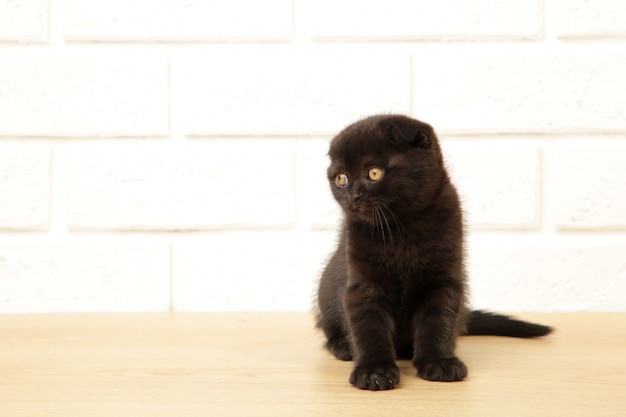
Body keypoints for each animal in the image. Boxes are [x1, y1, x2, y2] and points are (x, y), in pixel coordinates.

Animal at [314, 114, 548, 390]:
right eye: (342, 178)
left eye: (374, 172)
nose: (354, 196)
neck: (401, 227)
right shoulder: (363, 284)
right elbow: (368, 328)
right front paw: (374, 370)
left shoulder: (444, 279)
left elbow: (438, 321)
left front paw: (440, 362)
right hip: (326, 286)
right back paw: (342, 346)